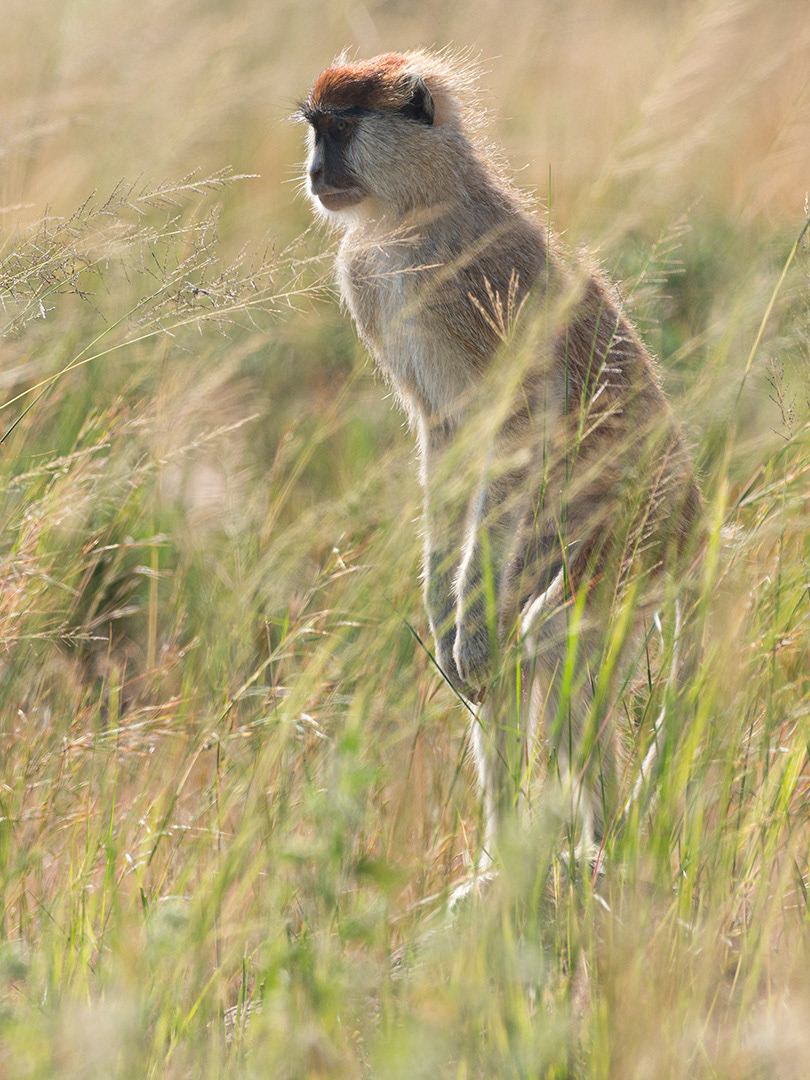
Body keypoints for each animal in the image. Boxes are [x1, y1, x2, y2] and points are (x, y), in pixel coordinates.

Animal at [299, 50, 703, 886]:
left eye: (340, 128)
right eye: (315, 128)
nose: (317, 172)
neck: (416, 212)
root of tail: (695, 512)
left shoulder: (475, 281)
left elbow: (520, 420)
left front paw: (473, 633)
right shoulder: (367, 280)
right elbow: (446, 436)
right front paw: (441, 610)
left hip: (634, 533)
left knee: (556, 636)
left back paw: (596, 848)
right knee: (529, 652)